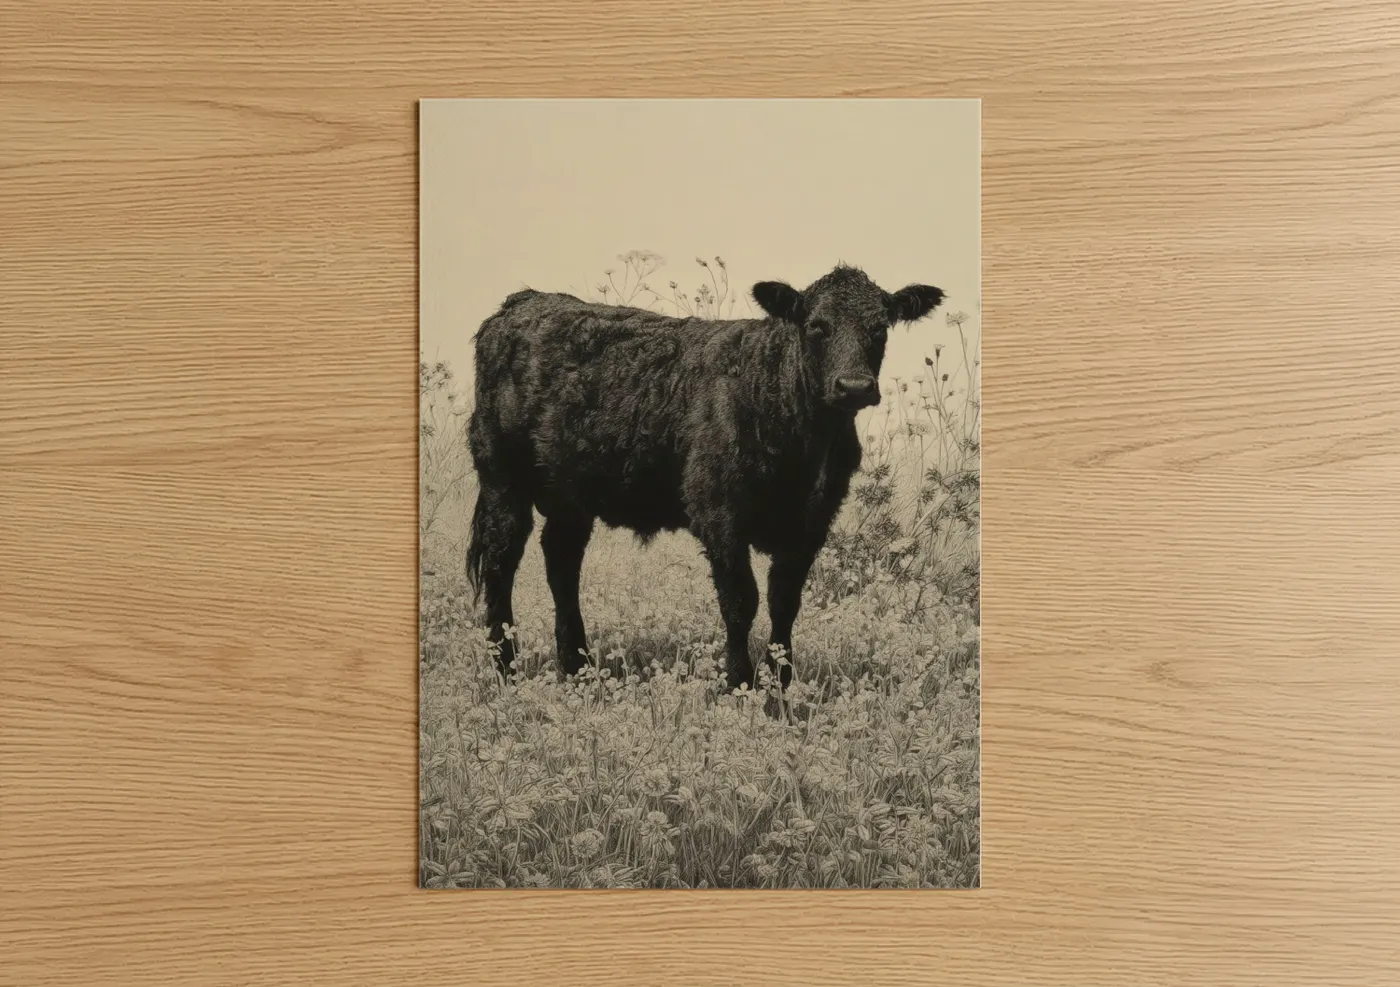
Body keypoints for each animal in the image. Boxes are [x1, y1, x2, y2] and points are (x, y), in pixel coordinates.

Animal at [465, 263, 944, 693]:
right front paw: (740, 685)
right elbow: (741, 601)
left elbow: (785, 602)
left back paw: (577, 668)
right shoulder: (719, 513)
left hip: (571, 495)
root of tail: (526, 300)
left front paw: (782, 686)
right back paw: (507, 670)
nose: (854, 386)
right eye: (816, 327)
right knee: (502, 560)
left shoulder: (811, 523)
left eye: (880, 328)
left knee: (561, 559)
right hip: (502, 478)